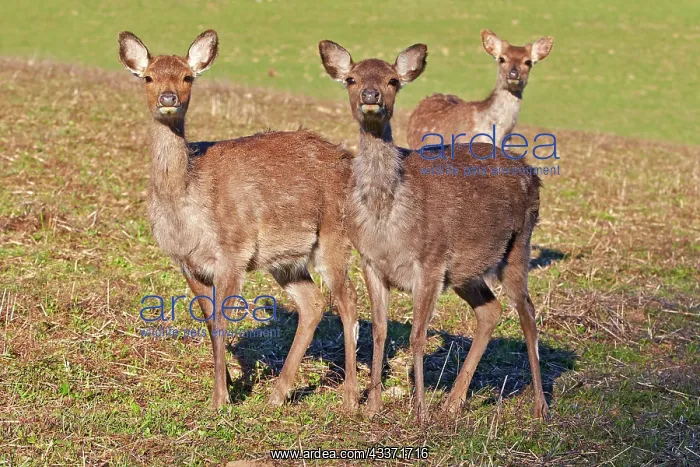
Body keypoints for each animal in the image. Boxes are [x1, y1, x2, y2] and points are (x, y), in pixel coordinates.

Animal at [117, 30, 359, 410]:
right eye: (148, 77)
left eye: (187, 77)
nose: (169, 98)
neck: (185, 206)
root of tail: (349, 160)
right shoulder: (186, 262)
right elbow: (206, 318)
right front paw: (228, 384)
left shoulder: (232, 252)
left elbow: (220, 320)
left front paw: (220, 399)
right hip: (285, 259)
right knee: (314, 303)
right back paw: (278, 394)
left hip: (334, 238)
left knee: (348, 302)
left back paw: (350, 396)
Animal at [319, 40, 548, 423]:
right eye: (351, 78)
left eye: (393, 80)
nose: (370, 95)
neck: (387, 217)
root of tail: (532, 174)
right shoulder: (370, 262)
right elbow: (379, 331)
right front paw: (374, 405)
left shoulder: (430, 261)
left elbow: (417, 336)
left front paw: (420, 411)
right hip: (466, 271)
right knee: (491, 310)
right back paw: (454, 402)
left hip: (519, 245)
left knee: (527, 313)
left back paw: (541, 406)